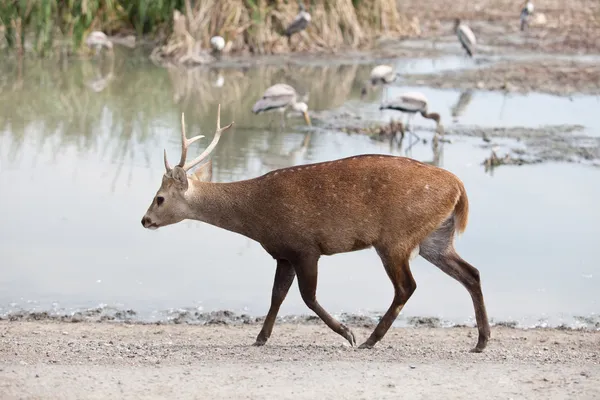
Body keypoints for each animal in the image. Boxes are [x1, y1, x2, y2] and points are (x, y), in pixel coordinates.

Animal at [142, 104, 492, 354]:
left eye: (159, 198)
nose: (144, 220)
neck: (257, 217)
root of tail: (459, 188)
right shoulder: (283, 253)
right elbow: (277, 296)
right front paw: (260, 337)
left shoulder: (305, 246)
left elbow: (307, 297)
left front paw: (347, 333)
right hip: (436, 237)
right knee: (471, 273)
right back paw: (481, 341)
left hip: (395, 237)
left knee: (407, 286)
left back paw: (370, 339)